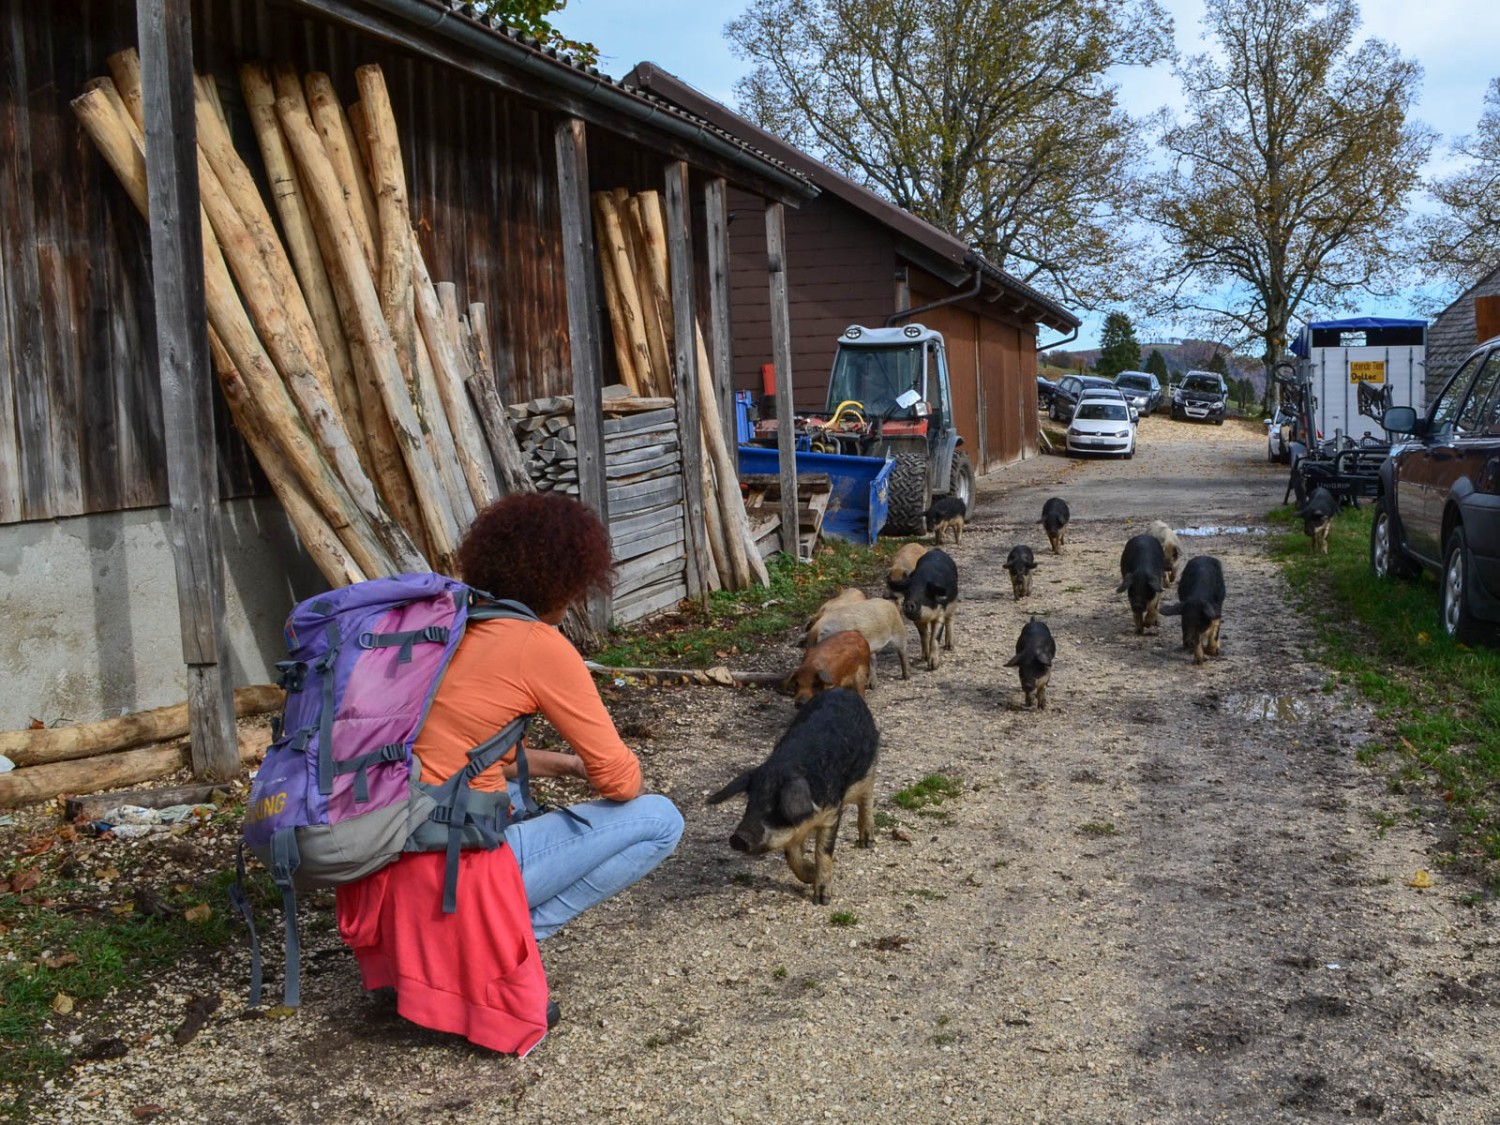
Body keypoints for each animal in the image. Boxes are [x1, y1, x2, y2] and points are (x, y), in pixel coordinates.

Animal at [705, 687, 876, 906]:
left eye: (774, 807)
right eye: (750, 804)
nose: (738, 838)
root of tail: (844, 690)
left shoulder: (831, 812)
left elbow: (823, 852)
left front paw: (822, 900)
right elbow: (791, 856)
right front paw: (810, 874)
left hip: (867, 771)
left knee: (867, 798)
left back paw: (867, 843)